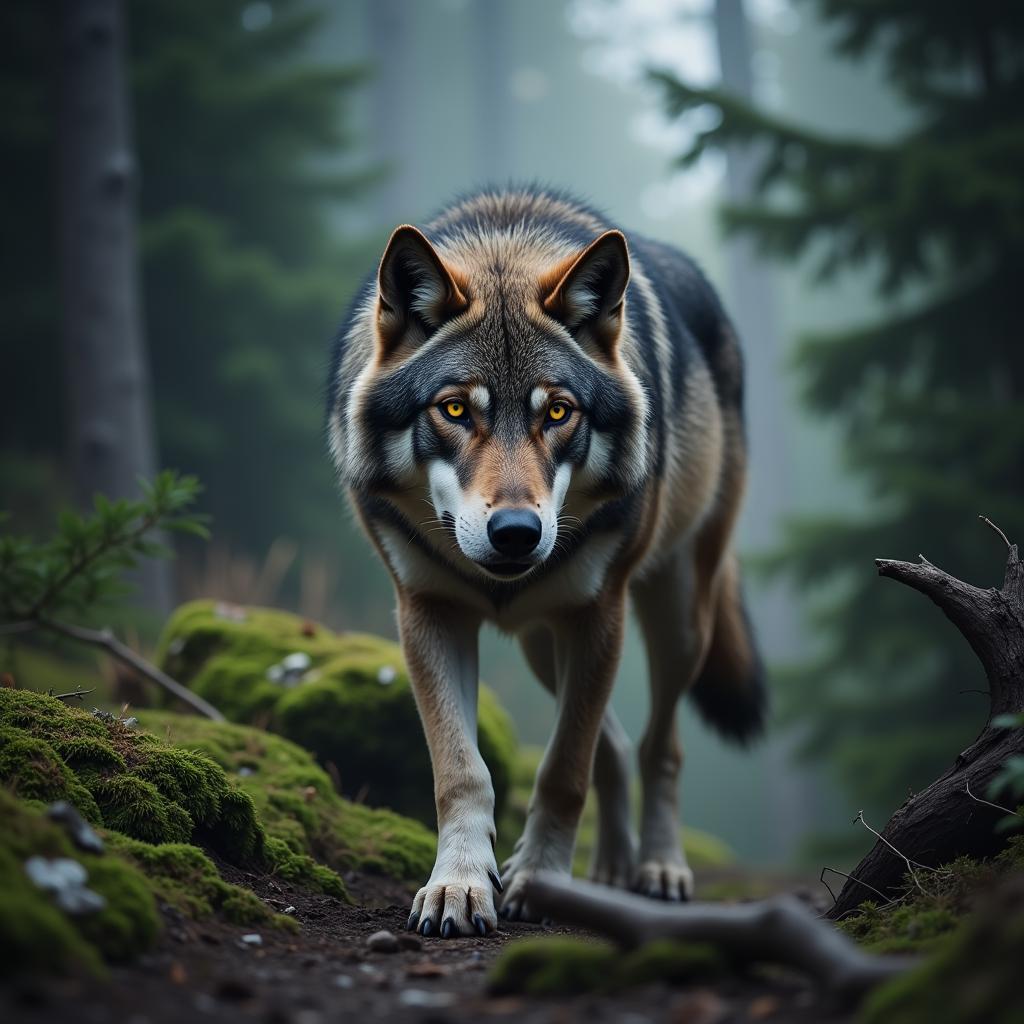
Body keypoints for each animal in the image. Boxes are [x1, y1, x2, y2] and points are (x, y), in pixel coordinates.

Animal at [323, 184, 765, 937]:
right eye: (454, 410)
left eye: (558, 412)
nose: (516, 533)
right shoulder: (428, 613)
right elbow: (463, 771)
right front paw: (460, 885)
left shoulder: (597, 611)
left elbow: (563, 770)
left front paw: (541, 880)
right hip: (540, 641)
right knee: (616, 743)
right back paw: (611, 868)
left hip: (675, 616)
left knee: (660, 746)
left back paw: (658, 868)